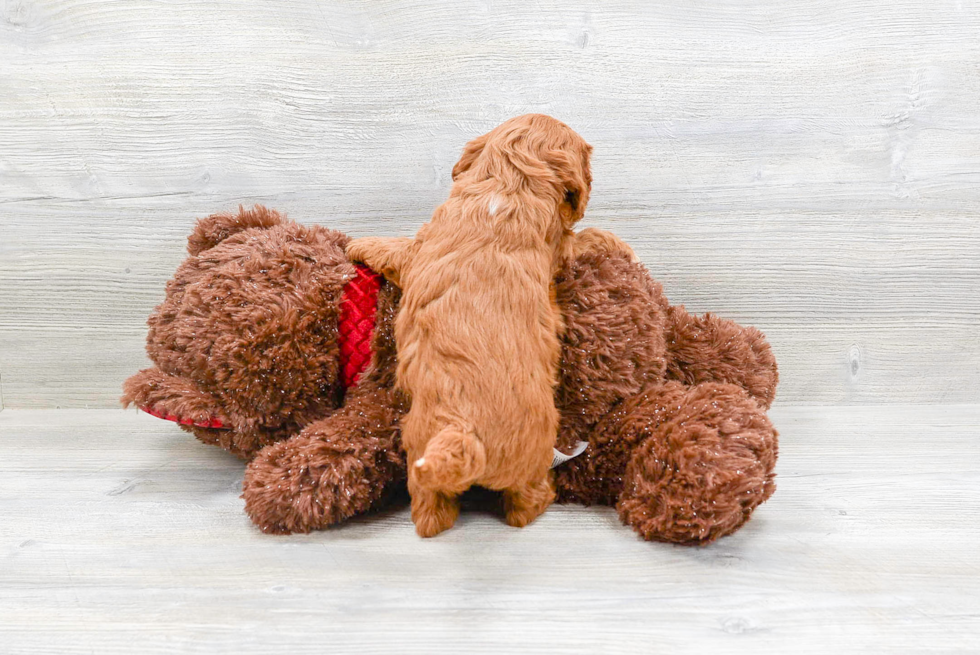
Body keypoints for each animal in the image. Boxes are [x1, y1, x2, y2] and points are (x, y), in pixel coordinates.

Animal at [348, 115, 600, 536]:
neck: (508, 185)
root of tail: (462, 429)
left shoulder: (418, 249)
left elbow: (396, 248)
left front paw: (357, 243)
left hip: (436, 445)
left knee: (462, 507)